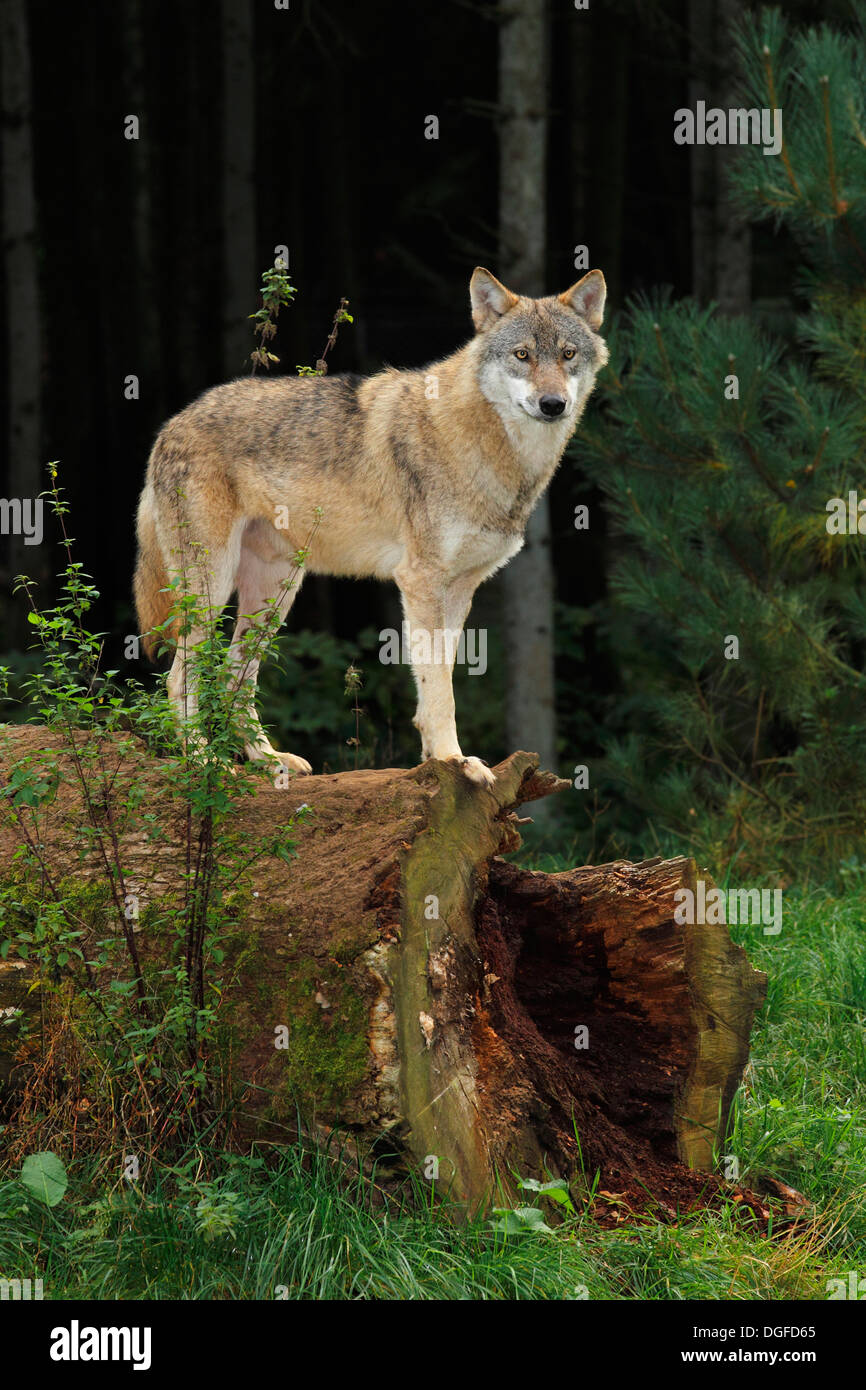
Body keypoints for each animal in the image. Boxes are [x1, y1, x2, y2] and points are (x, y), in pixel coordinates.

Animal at [135, 261, 608, 783]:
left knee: (237, 678)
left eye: (567, 354)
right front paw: (453, 760)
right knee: (180, 676)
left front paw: (437, 761)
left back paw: (270, 760)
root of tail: (171, 424)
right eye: (522, 355)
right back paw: (200, 761)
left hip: (275, 596)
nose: (552, 404)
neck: (491, 447)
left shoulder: (461, 589)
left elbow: (438, 681)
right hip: (211, 588)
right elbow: (440, 691)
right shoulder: (420, 581)